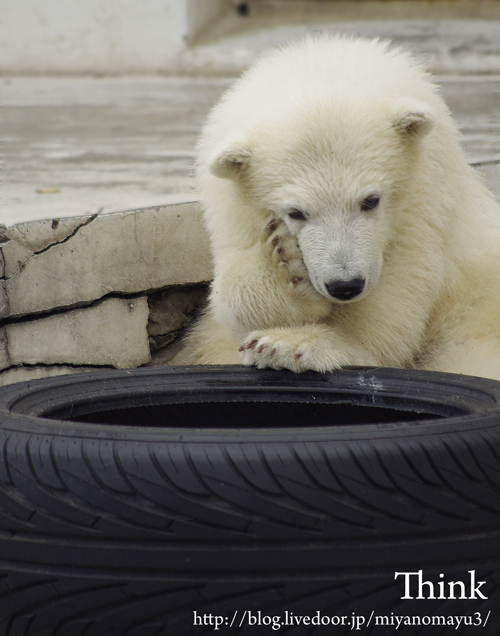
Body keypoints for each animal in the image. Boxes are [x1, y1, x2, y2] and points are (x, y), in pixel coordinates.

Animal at [180, 34, 500, 380]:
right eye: (295, 212)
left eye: (370, 200)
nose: (345, 285)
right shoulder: (234, 212)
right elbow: (228, 299)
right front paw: (282, 265)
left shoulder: (424, 202)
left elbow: (398, 295)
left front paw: (291, 344)